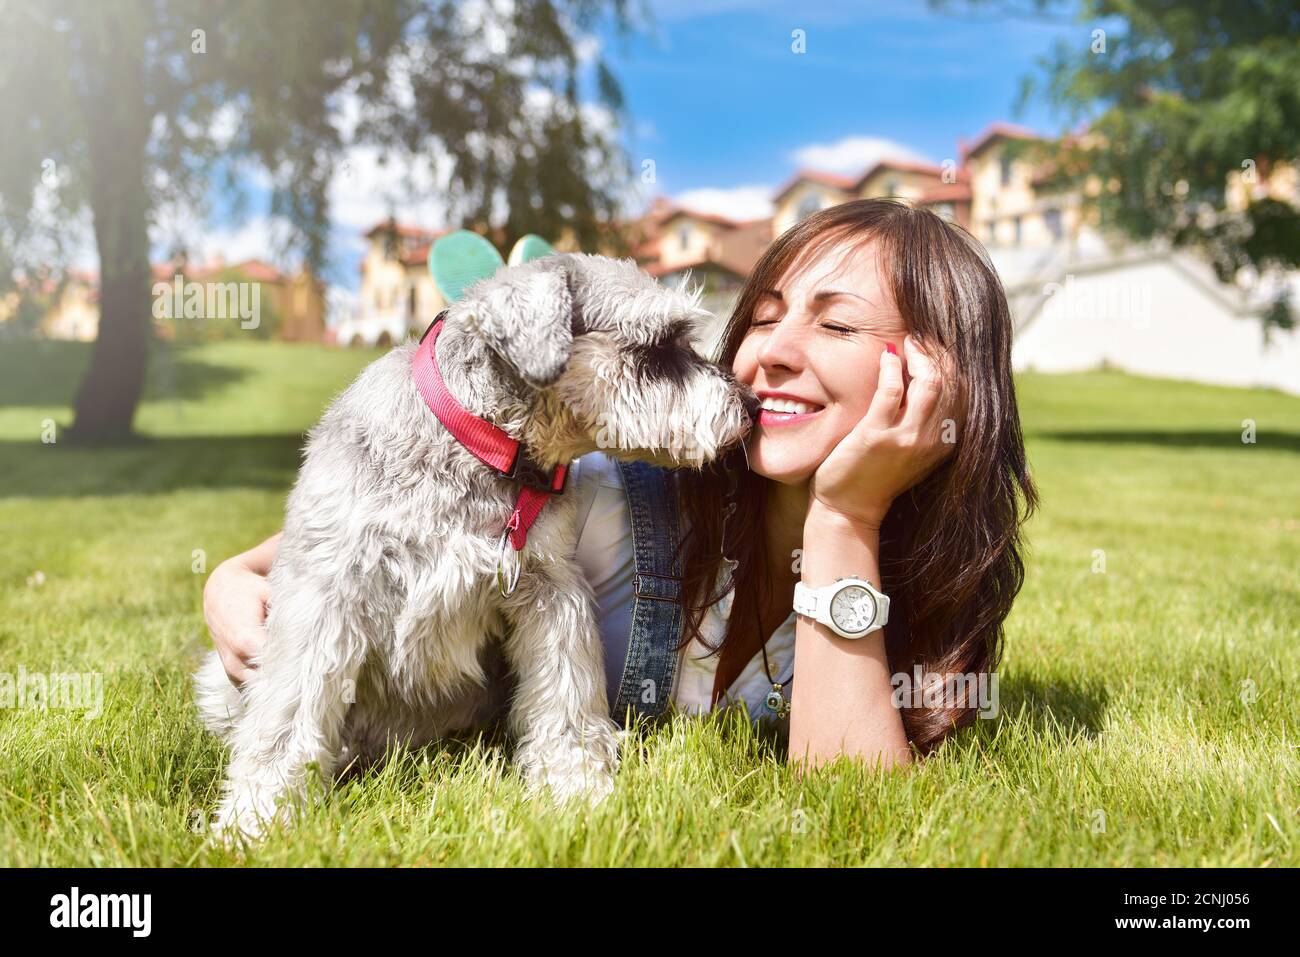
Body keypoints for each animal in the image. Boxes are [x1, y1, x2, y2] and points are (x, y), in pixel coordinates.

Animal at [195, 252, 759, 837]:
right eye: (658, 347)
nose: (752, 407)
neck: (479, 446)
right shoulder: (327, 591)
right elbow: (287, 716)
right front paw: (256, 818)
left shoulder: (550, 590)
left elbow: (567, 698)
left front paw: (578, 789)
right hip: (222, 680)